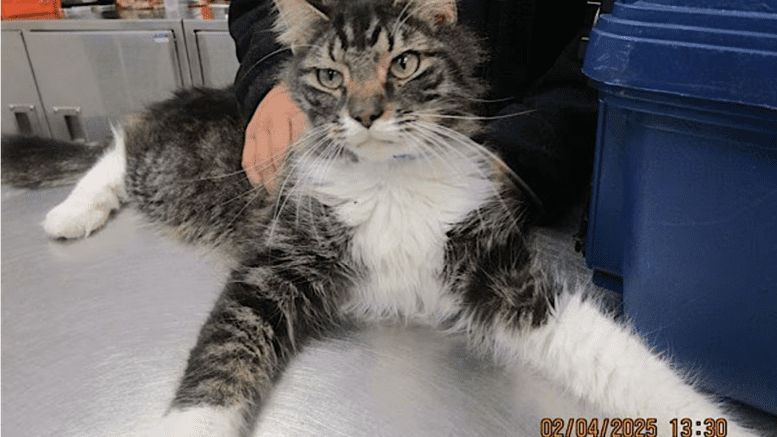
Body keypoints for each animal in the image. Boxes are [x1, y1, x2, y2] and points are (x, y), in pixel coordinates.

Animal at [0, 0, 764, 436]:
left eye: (405, 63)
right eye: (330, 76)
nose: (366, 112)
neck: (390, 181)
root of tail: (202, 97)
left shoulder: (492, 268)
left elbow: (621, 359)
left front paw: (714, 420)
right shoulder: (275, 262)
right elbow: (221, 358)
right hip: (174, 170)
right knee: (119, 140)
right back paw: (71, 212)